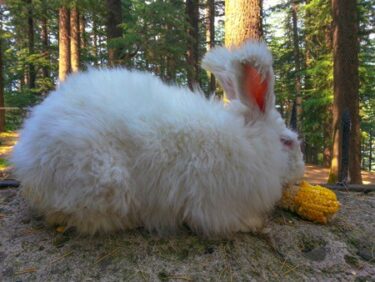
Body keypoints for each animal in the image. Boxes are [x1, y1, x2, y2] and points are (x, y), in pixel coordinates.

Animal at [11, 41, 306, 236]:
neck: (249, 141)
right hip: (103, 178)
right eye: (288, 141)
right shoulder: (216, 207)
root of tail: (27, 158)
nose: (302, 171)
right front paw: (256, 224)